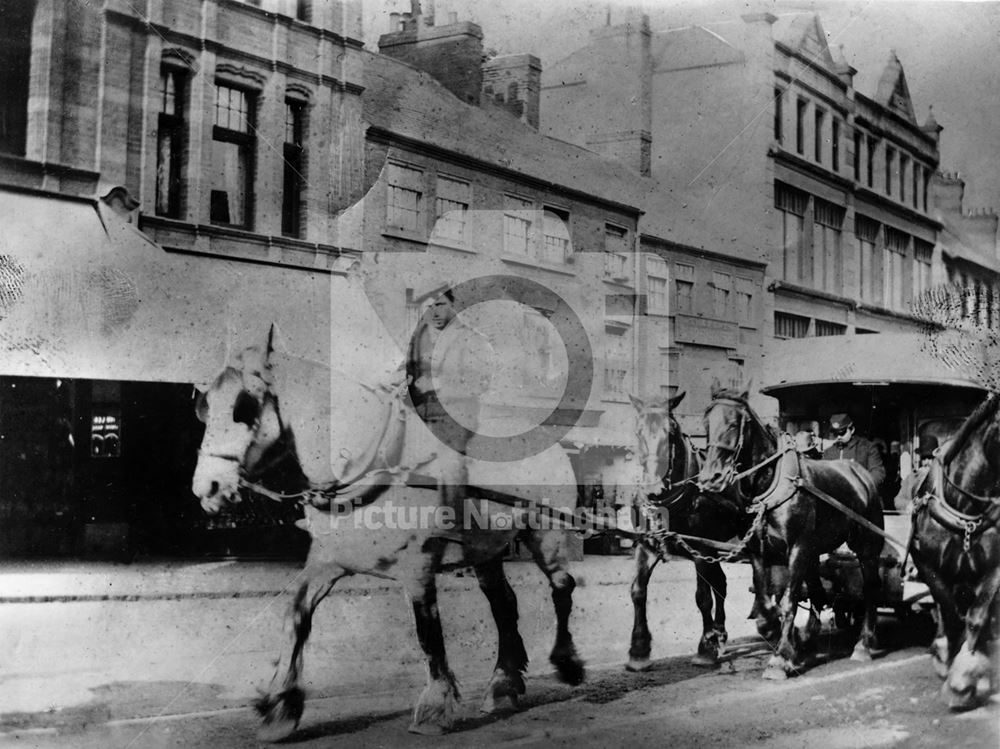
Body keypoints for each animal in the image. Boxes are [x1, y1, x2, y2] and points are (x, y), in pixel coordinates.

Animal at [189, 330, 584, 740]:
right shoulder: (328, 562)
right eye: (204, 408)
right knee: (503, 603)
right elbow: (296, 619)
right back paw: (503, 684)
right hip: (486, 549)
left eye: (244, 407)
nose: (206, 487)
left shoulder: (418, 567)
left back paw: (566, 663)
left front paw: (434, 708)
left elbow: (427, 632)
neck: (370, 465)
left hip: (548, 533)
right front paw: (279, 707)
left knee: (562, 586)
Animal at [628, 392, 748, 668]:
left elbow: (702, 597)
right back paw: (720, 634)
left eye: (671, 432)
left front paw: (705, 648)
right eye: (638, 431)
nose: (654, 488)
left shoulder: (700, 549)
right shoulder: (646, 545)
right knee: (721, 584)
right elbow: (638, 591)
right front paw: (638, 650)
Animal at [696, 382, 884, 680]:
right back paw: (808, 639)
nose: (710, 478)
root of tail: (861, 474)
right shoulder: (758, 551)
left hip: (866, 546)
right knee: (818, 592)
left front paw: (780, 658)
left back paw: (864, 643)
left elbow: (788, 602)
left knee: (870, 588)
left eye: (734, 423)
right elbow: (765, 603)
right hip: (816, 553)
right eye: (706, 423)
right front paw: (779, 634)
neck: (771, 482)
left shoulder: (798, 548)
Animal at [908, 392, 1000, 708]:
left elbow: (976, 617)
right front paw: (950, 666)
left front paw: (964, 679)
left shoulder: (994, 568)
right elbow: (948, 612)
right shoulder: (929, 566)